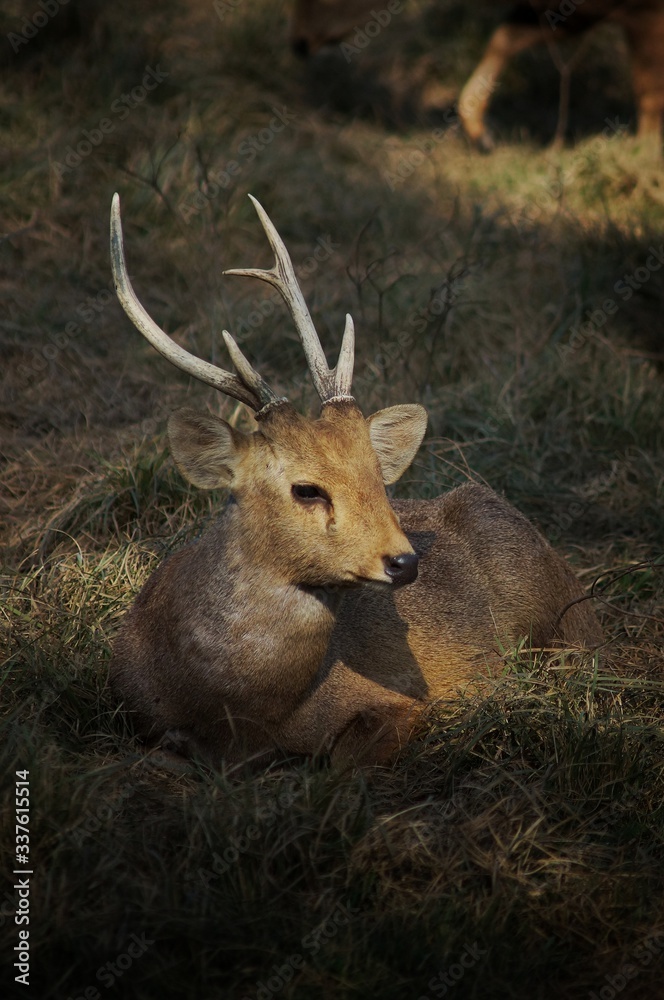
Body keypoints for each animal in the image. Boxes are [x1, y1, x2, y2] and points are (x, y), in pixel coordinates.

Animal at [109, 192, 603, 767]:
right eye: (306, 489)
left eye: (378, 479)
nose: (405, 561)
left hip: (565, 623)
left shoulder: (397, 704)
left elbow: (343, 758)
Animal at [290, 0, 664, 150]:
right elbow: (505, 37)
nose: (299, 41)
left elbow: (648, 94)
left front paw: (643, 157)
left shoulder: (641, 10)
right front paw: (479, 131)